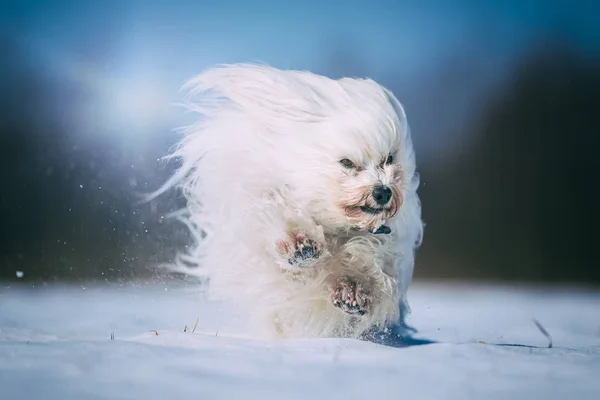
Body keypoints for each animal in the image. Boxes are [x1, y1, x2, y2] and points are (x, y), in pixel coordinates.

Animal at [157, 64, 424, 340]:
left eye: (389, 158)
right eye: (347, 162)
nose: (382, 192)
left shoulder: (388, 242)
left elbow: (368, 256)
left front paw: (353, 290)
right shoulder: (257, 192)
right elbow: (276, 212)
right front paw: (299, 244)